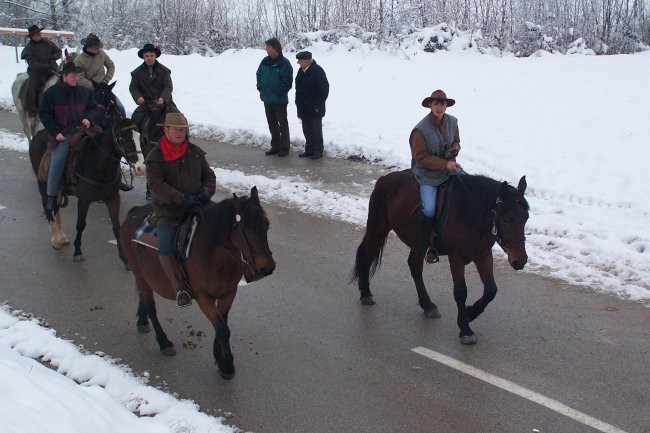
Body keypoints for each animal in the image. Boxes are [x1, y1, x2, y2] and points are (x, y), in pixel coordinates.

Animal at [29, 82, 139, 262]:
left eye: (137, 136)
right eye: (123, 137)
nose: (139, 166)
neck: (99, 163)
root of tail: (37, 136)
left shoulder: (112, 197)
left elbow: (116, 226)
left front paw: (124, 257)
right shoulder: (84, 199)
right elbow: (80, 225)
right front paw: (77, 251)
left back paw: (61, 237)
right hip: (43, 184)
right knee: (49, 206)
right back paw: (56, 239)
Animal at [119, 186, 276, 378]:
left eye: (266, 223)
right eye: (245, 229)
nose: (267, 267)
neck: (213, 254)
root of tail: (133, 214)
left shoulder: (229, 293)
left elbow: (222, 324)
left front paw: (219, 356)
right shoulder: (203, 297)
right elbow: (222, 329)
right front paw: (226, 365)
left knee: (142, 296)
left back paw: (142, 321)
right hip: (139, 273)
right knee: (150, 306)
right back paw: (164, 342)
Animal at [350, 169, 528, 344]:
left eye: (526, 217)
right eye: (506, 220)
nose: (520, 260)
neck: (469, 214)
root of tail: (384, 179)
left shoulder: (483, 255)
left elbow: (491, 290)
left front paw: (470, 313)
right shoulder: (456, 258)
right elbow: (461, 292)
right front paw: (465, 329)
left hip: (416, 243)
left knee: (414, 267)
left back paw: (428, 305)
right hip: (378, 228)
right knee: (366, 255)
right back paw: (366, 294)